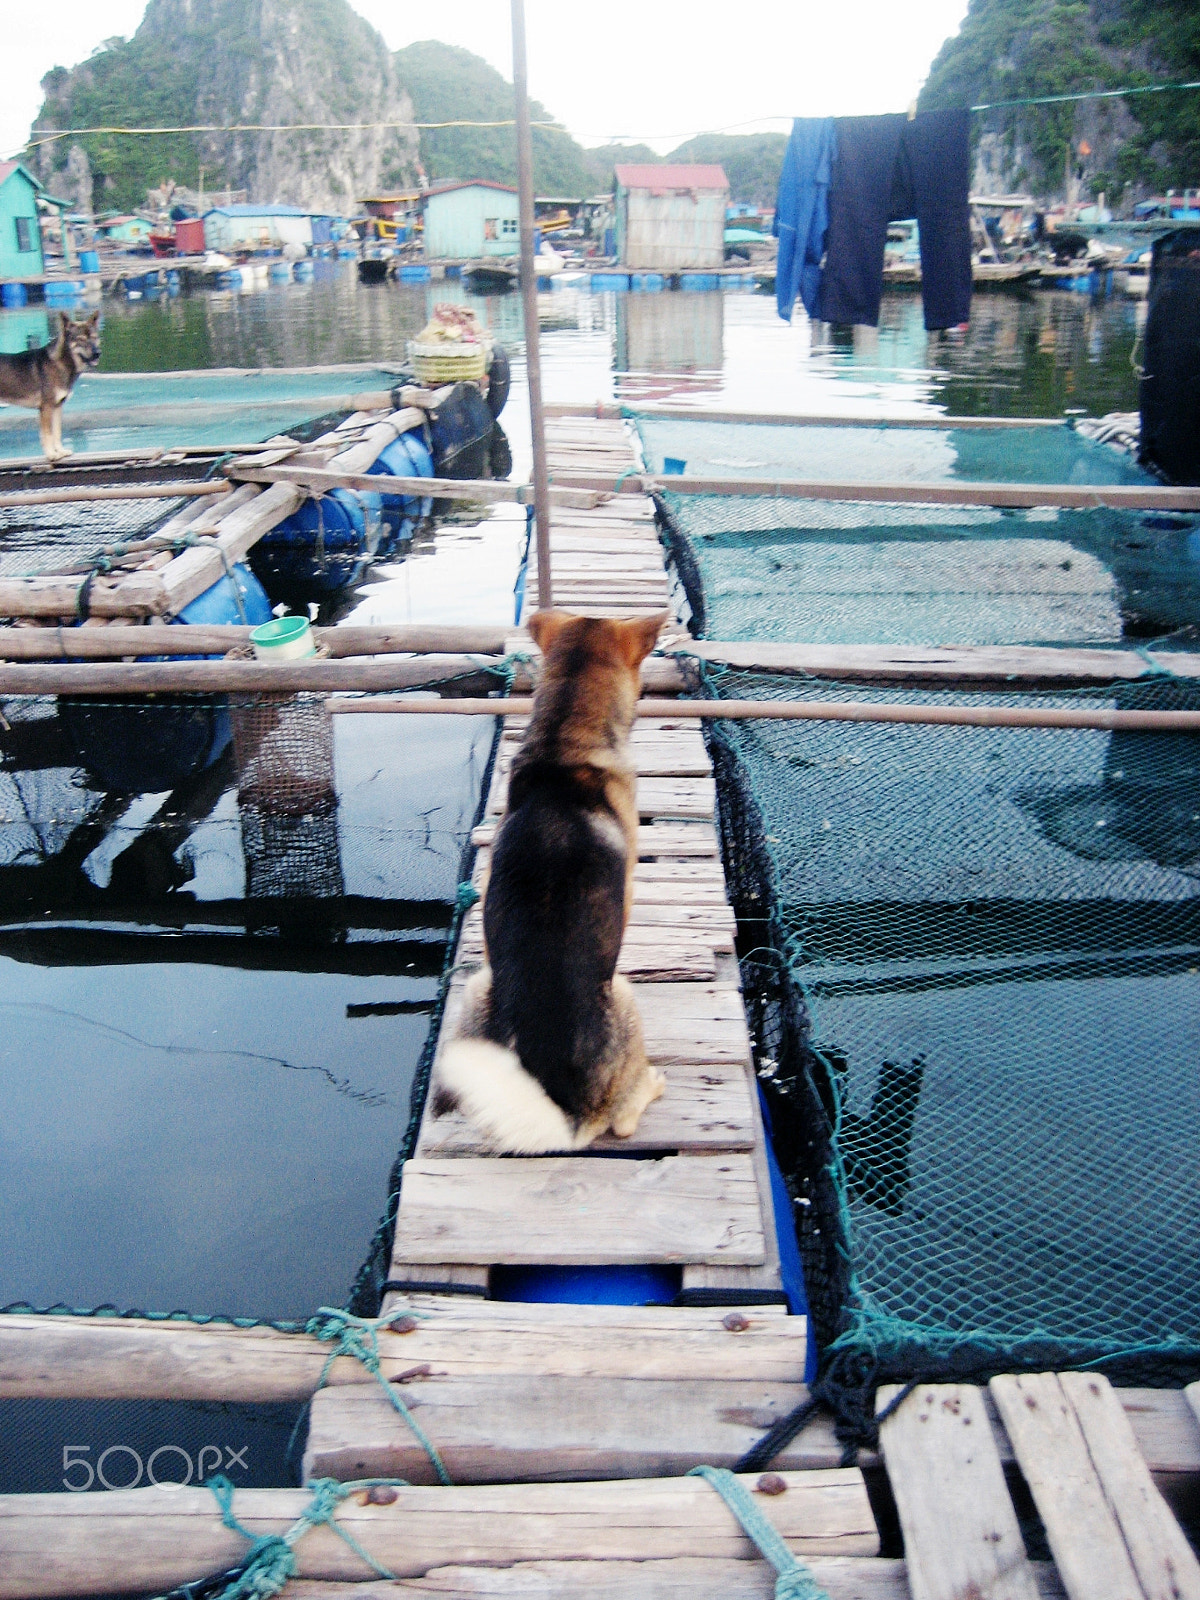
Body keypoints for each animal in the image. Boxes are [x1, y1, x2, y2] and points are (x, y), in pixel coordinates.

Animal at [0, 310, 101, 464]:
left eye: (94, 338)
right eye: (81, 339)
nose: (97, 353)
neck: (60, 363)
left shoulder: (57, 406)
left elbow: (57, 432)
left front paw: (60, 452)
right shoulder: (46, 407)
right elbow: (47, 434)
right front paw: (51, 455)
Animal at [435, 601, 678, 1152]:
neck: (564, 741)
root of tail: (567, 1115)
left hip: (479, 988)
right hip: (623, 995)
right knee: (624, 1119)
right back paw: (651, 1084)